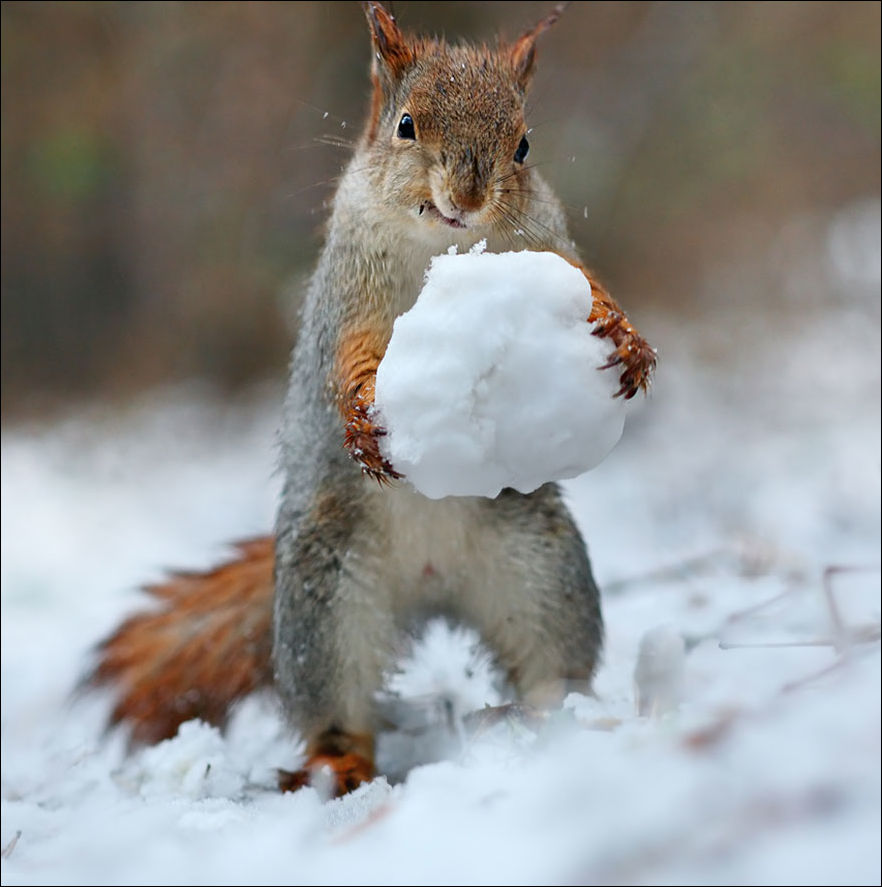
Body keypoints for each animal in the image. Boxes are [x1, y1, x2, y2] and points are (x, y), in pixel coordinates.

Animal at [89, 2, 656, 798]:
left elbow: (593, 286)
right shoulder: (347, 296)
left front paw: (629, 342)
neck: (441, 247)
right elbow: (350, 361)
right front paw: (361, 417)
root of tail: (432, 580)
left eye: (524, 145)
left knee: (553, 663)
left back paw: (561, 723)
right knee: (337, 708)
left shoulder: (555, 249)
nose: (467, 199)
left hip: (544, 577)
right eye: (406, 125)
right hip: (323, 610)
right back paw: (341, 764)